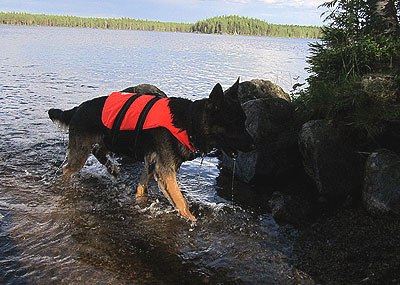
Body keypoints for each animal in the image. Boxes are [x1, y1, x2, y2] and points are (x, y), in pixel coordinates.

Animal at [48, 79, 255, 221]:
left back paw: (112, 169)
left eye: (244, 121)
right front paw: (192, 220)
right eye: (234, 124)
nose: (254, 146)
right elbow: (181, 202)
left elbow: (141, 188)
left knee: (98, 152)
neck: (189, 122)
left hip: (111, 140)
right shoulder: (165, 171)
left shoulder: (152, 165)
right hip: (82, 152)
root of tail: (77, 108)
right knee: (67, 169)